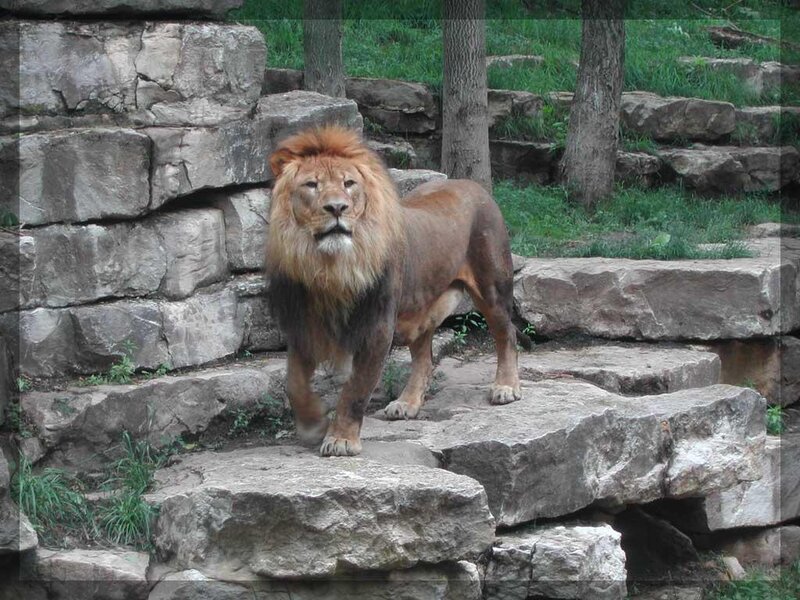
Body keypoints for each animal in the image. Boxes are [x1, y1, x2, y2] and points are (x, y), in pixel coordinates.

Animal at [266, 126, 524, 457]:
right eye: (311, 185)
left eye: (349, 184)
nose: (337, 208)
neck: (330, 266)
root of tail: (473, 185)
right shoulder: (302, 322)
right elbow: (294, 383)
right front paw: (313, 424)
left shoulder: (376, 327)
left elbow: (355, 389)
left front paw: (341, 439)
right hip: (421, 305)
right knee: (424, 358)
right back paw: (406, 403)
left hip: (491, 285)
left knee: (507, 333)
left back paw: (506, 387)